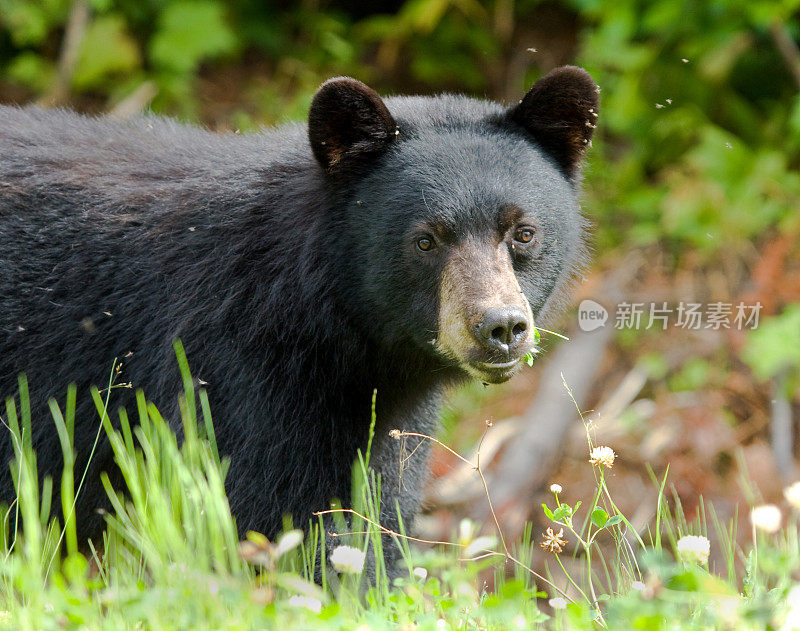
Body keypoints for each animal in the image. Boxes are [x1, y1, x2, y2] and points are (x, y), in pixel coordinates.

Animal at [0, 65, 600, 552]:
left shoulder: (383, 414)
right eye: (426, 240)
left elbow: (374, 512)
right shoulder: (228, 366)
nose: (500, 327)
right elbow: (261, 511)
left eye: (523, 232)